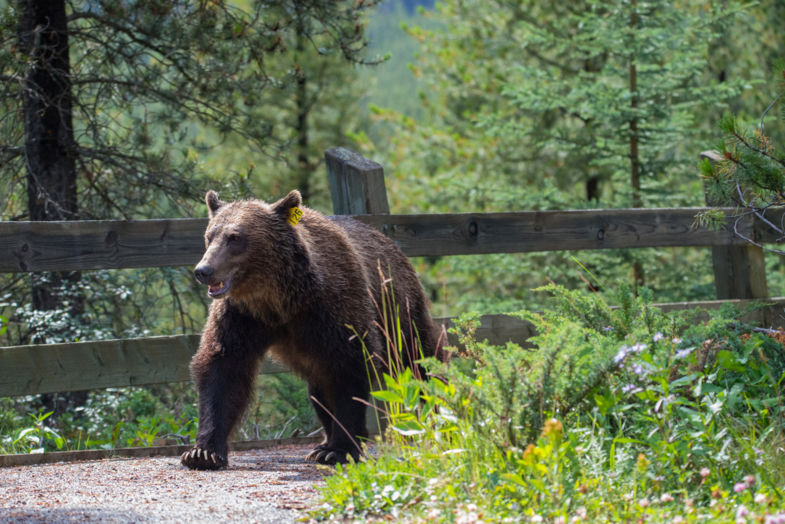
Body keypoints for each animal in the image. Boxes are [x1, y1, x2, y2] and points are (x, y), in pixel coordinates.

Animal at [180, 189, 444, 469]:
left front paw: (340, 449)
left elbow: (349, 368)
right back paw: (322, 444)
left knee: (419, 359)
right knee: (319, 388)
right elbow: (222, 369)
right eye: (209, 235)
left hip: (398, 311)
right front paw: (202, 452)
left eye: (235, 237)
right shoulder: (241, 316)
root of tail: (391, 243)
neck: (279, 300)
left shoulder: (333, 308)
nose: (203, 270)